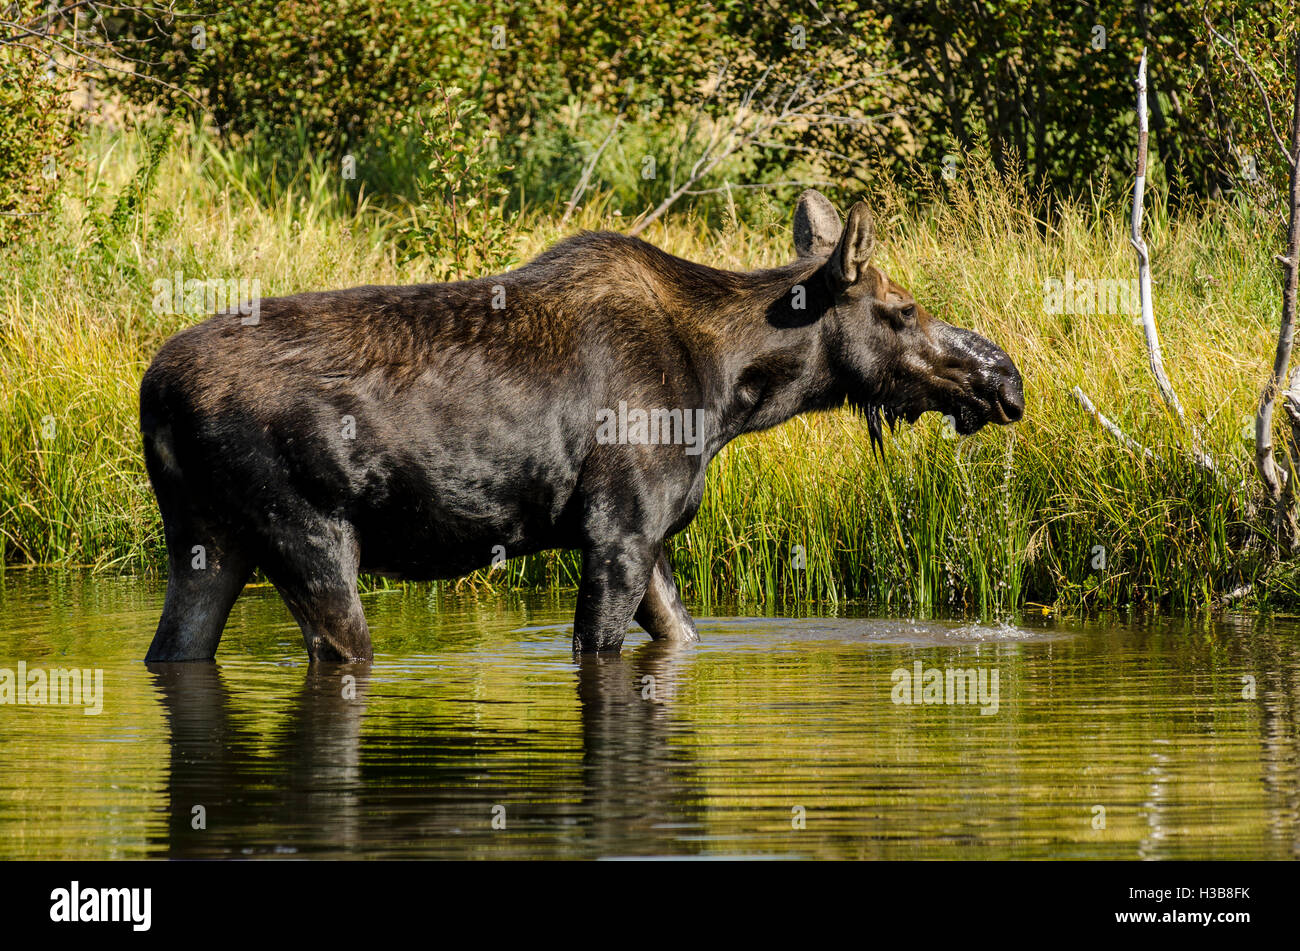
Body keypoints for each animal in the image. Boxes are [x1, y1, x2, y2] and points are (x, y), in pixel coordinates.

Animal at [139, 185, 1024, 659]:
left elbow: (681, 636)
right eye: (904, 310)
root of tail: (152, 395)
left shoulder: (654, 538)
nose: (1004, 379)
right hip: (309, 536)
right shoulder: (617, 529)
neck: (730, 395)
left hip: (208, 542)